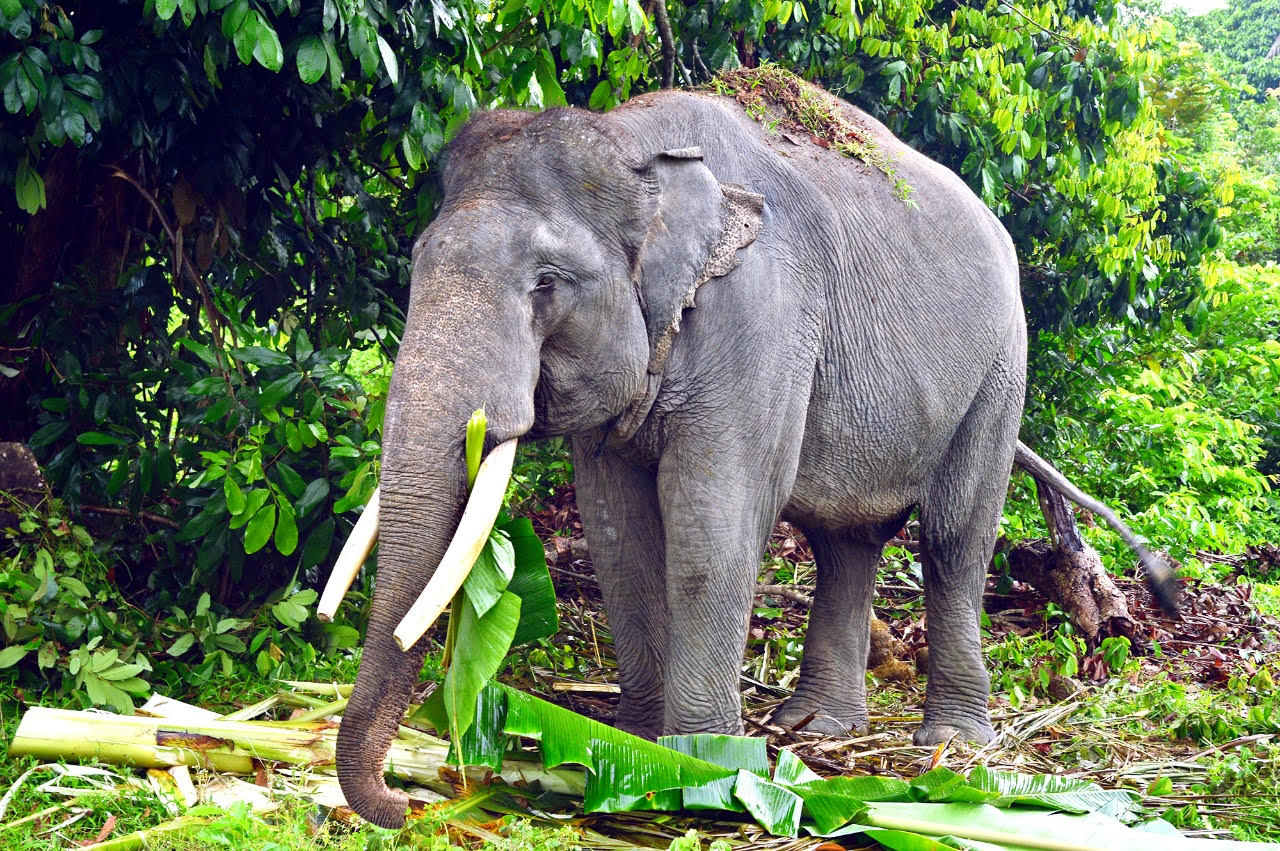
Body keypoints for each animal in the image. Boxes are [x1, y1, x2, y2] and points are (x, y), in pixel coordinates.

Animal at [327, 76, 1177, 828]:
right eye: (417, 262)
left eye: (547, 282)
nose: (408, 800)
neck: (639, 145)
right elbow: (618, 531)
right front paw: (629, 748)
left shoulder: (763, 317)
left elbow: (715, 523)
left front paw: (701, 766)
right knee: (847, 542)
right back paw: (817, 728)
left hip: (1001, 368)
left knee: (952, 539)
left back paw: (951, 740)